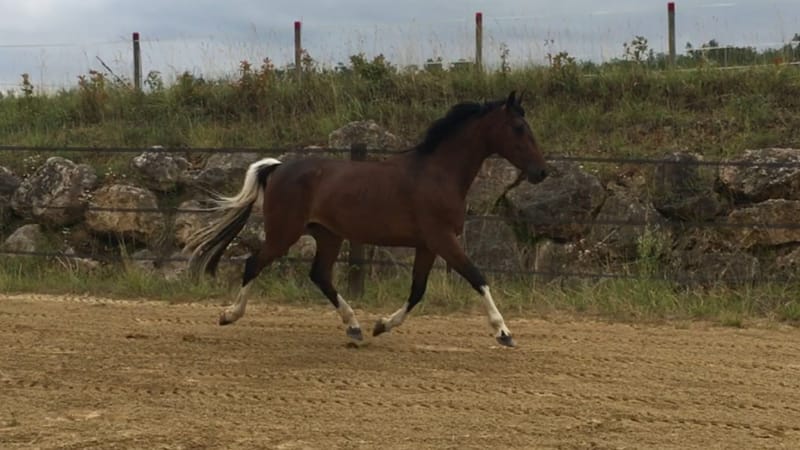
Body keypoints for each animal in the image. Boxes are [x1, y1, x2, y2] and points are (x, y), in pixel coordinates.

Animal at [186, 90, 552, 348]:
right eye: (518, 128)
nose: (541, 172)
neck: (438, 173)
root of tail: (278, 167)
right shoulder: (442, 239)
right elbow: (477, 277)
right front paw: (504, 332)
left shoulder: (427, 245)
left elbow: (418, 290)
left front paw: (381, 325)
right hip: (283, 233)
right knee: (254, 264)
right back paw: (229, 315)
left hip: (328, 235)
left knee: (320, 275)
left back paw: (355, 327)